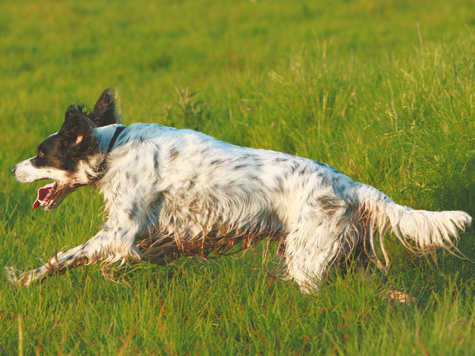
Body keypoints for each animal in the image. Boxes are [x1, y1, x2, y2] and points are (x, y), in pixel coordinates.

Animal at [7, 88, 472, 292]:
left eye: (41, 153)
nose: (12, 168)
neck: (112, 149)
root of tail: (351, 185)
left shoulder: (120, 231)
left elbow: (66, 257)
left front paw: (22, 277)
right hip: (341, 256)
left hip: (308, 260)